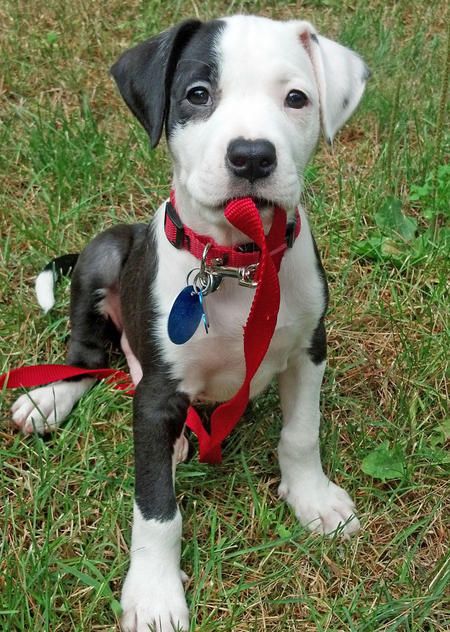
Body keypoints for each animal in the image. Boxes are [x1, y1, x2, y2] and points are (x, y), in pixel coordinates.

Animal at [11, 14, 370, 632]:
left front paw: (313, 498)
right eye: (197, 95)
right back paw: (48, 399)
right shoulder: (157, 396)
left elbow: (301, 434)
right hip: (107, 250)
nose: (251, 157)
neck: (236, 265)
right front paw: (154, 593)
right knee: (89, 357)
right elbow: (156, 508)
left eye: (296, 98)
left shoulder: (309, 348)